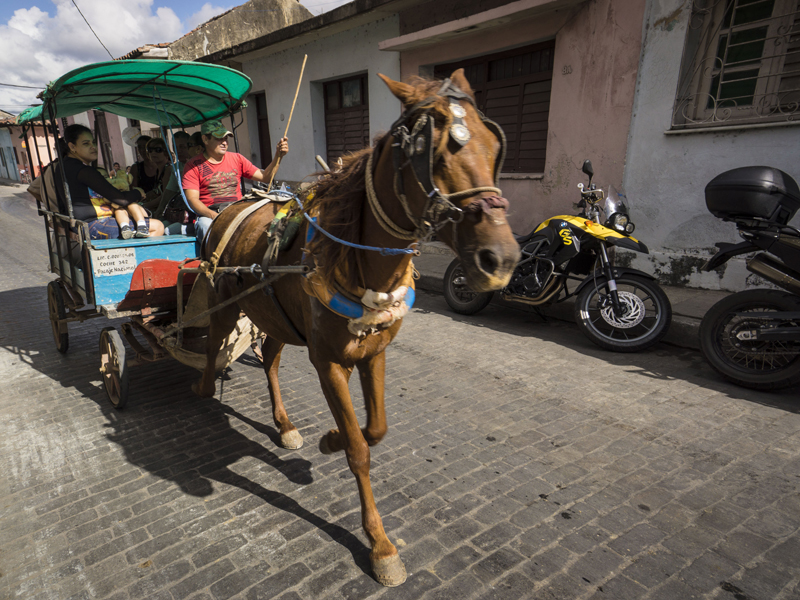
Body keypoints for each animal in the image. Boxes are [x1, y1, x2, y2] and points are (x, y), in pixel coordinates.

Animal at [191, 70, 520, 584]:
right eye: (434, 152)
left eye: (493, 145)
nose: (500, 260)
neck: (356, 260)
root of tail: (233, 206)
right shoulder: (326, 361)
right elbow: (360, 449)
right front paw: (380, 545)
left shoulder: (373, 353)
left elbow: (376, 429)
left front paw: (330, 438)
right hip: (227, 300)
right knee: (213, 342)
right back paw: (205, 387)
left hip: (274, 317)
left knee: (271, 361)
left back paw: (284, 424)